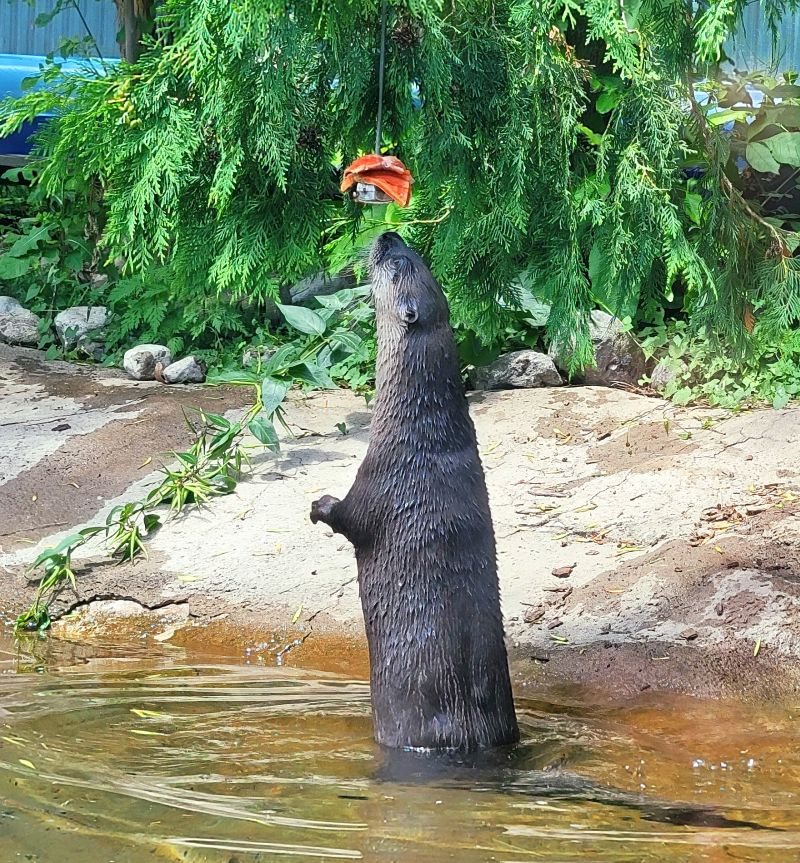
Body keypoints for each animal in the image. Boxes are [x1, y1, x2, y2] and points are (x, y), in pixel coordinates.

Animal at [310, 232, 519, 752]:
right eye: (416, 254)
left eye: (398, 264)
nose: (388, 236)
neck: (420, 431)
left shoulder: (379, 477)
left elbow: (348, 518)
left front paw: (319, 505)